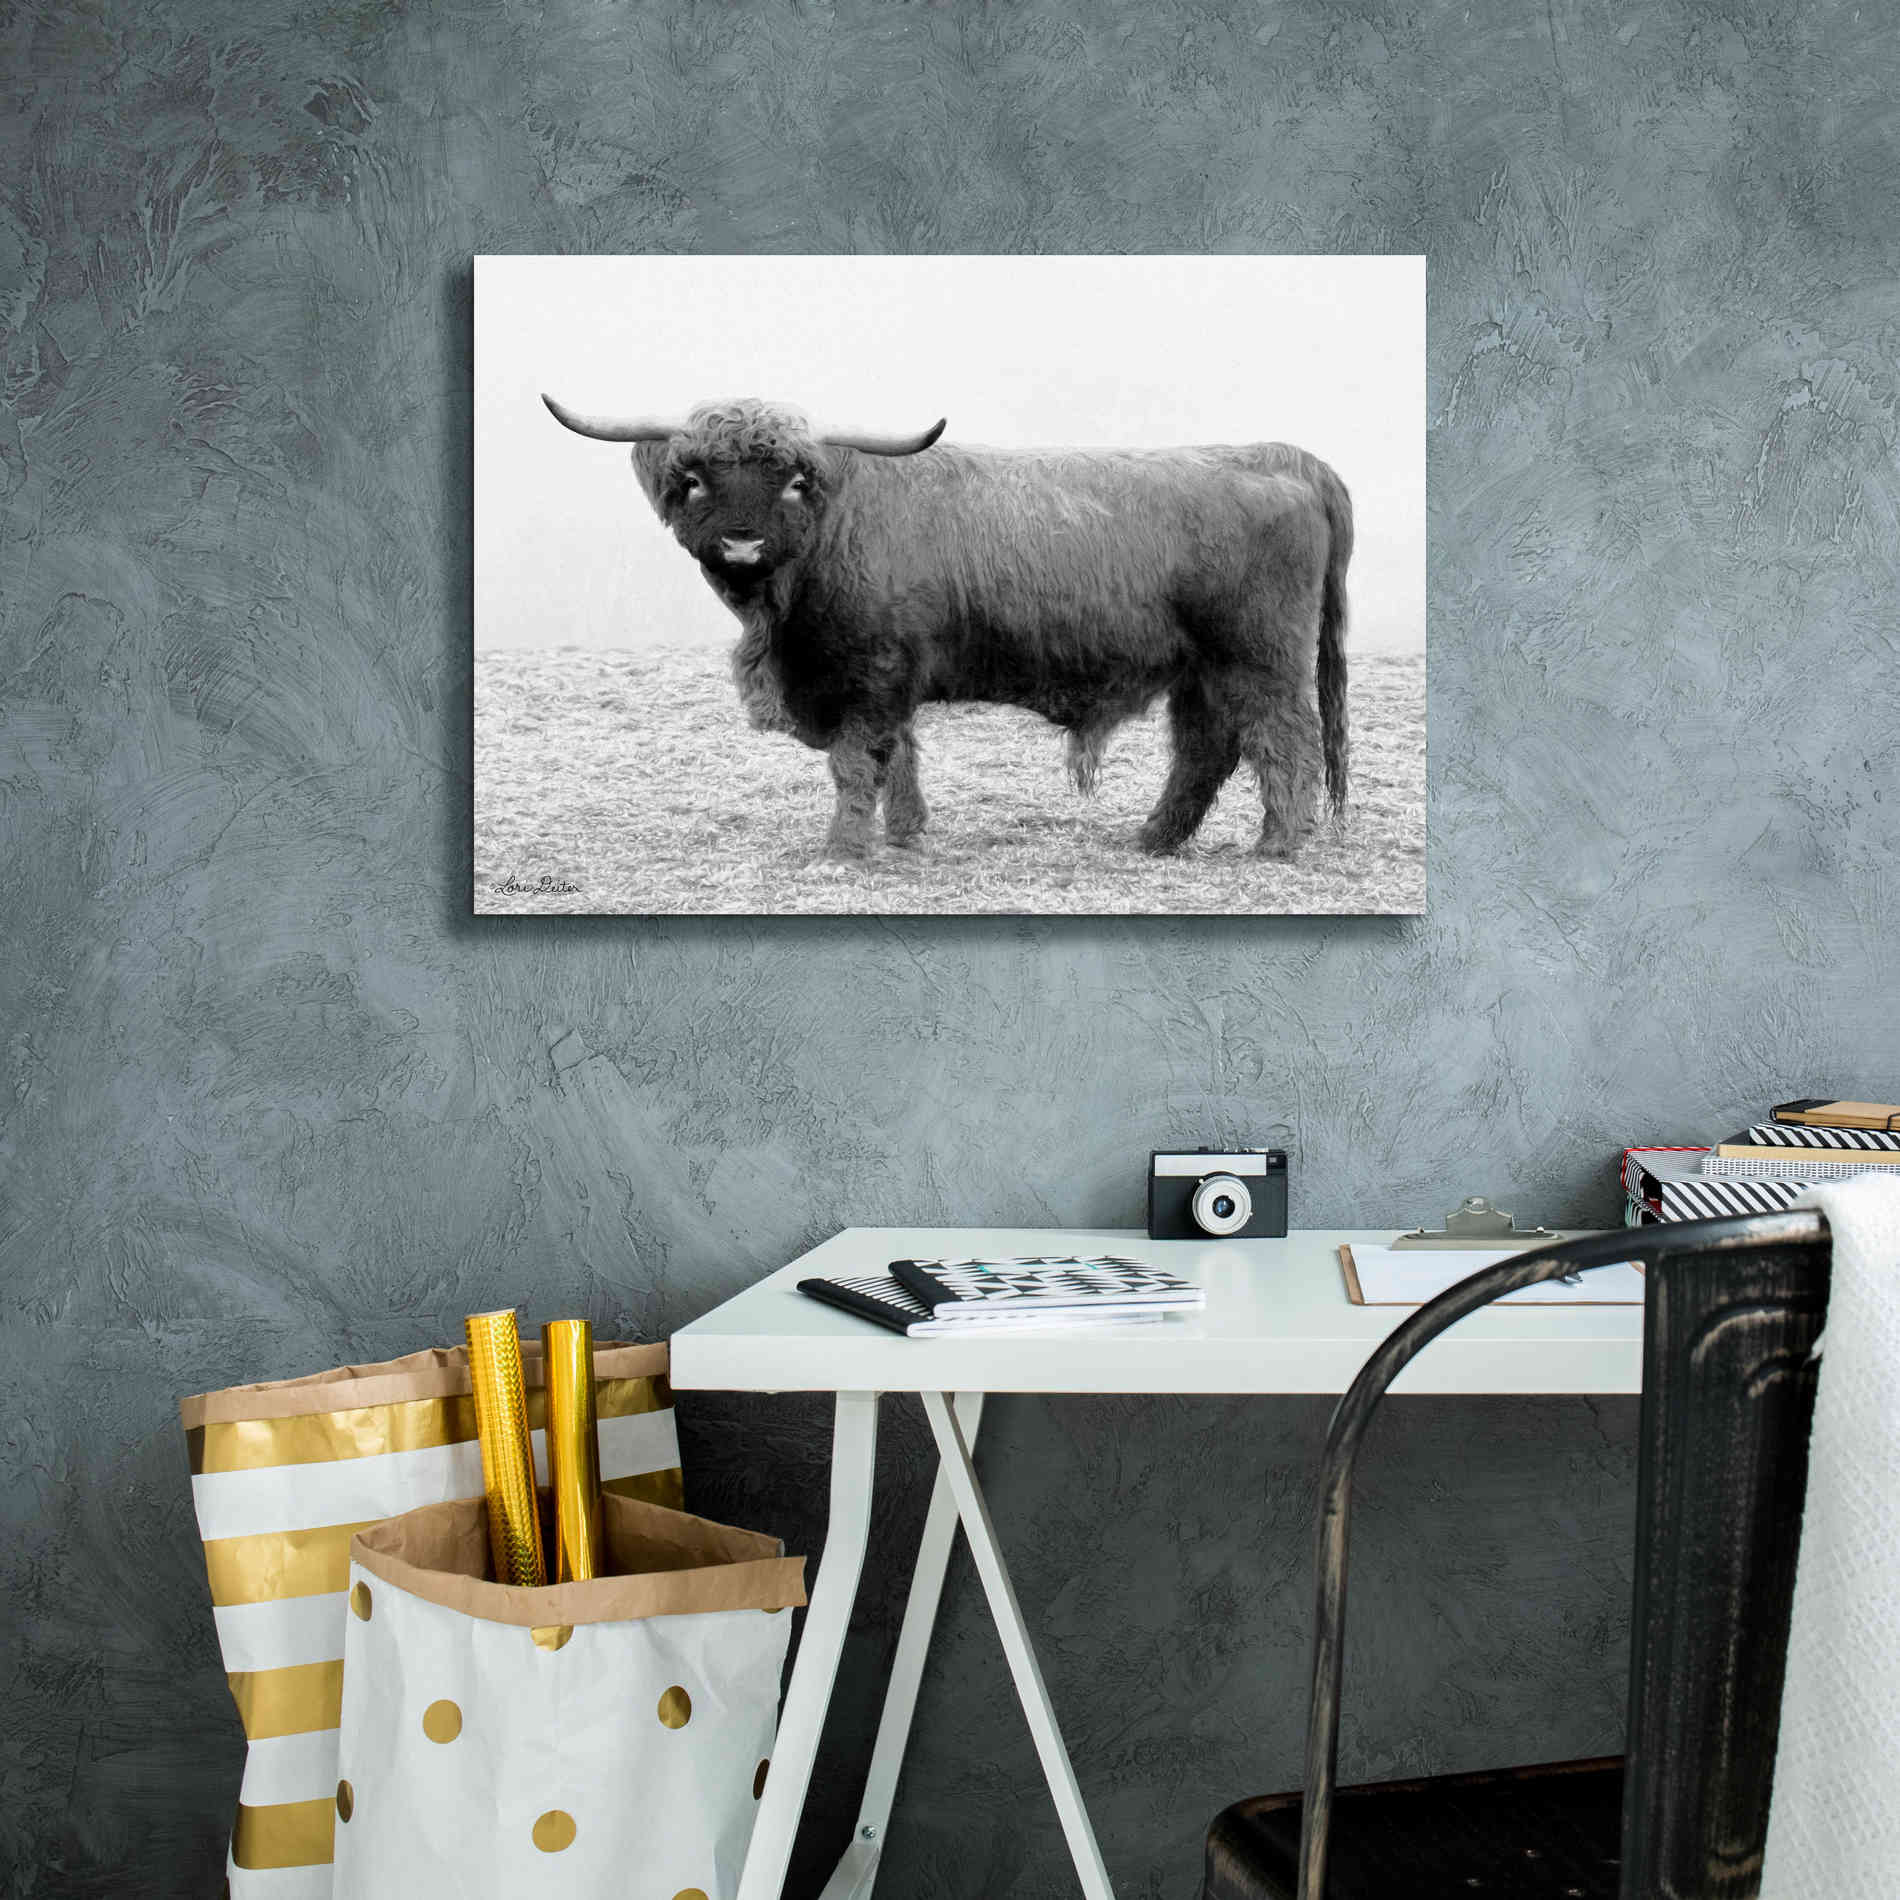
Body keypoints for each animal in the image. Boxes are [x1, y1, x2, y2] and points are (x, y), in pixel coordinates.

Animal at [543, 393, 1352, 863]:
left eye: (796, 481)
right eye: (695, 479)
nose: (742, 546)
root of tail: (1279, 456)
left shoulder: (867, 675)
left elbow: (857, 762)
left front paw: (844, 849)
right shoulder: (892, 676)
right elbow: (900, 755)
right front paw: (905, 833)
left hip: (1259, 657)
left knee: (1285, 741)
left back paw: (1278, 846)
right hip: (1201, 669)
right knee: (1206, 750)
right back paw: (1153, 840)